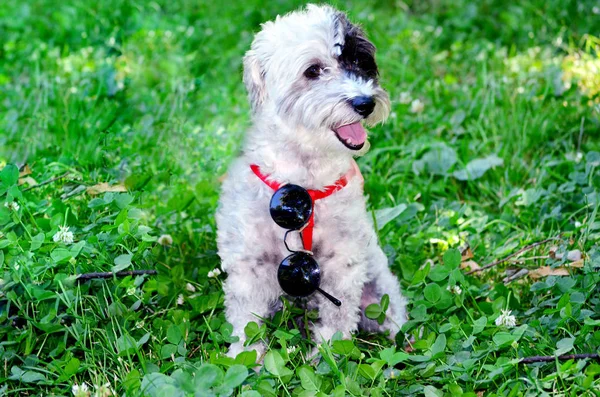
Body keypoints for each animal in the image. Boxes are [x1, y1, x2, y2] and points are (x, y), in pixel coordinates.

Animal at [216, 3, 408, 356]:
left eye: (359, 62)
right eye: (313, 71)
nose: (366, 103)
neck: (303, 182)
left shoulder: (342, 261)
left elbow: (337, 317)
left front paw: (329, 355)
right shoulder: (249, 264)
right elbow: (247, 322)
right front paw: (245, 358)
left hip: (379, 287)